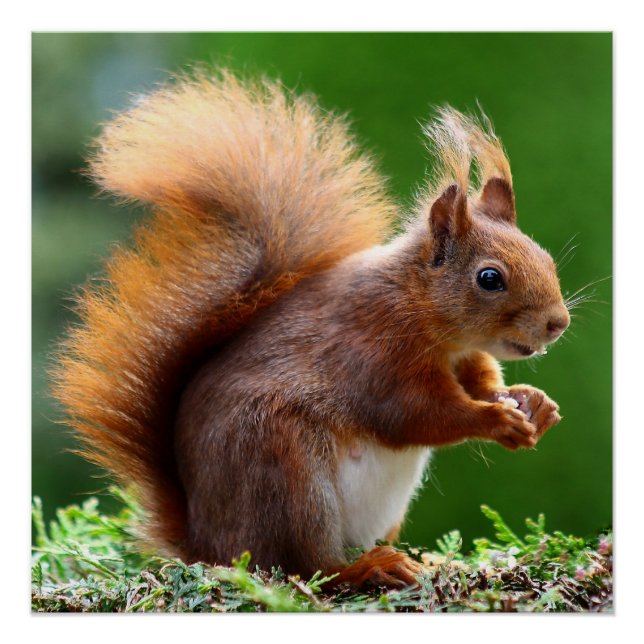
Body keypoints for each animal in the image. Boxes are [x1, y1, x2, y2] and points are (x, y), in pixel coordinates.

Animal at [52, 69, 570, 590]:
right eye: (490, 278)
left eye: (545, 258)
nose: (558, 323)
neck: (424, 312)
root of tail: (207, 544)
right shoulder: (373, 351)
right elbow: (416, 414)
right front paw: (496, 420)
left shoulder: (465, 356)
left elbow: (481, 383)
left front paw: (533, 403)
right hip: (287, 473)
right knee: (305, 566)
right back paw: (368, 568)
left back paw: (427, 561)